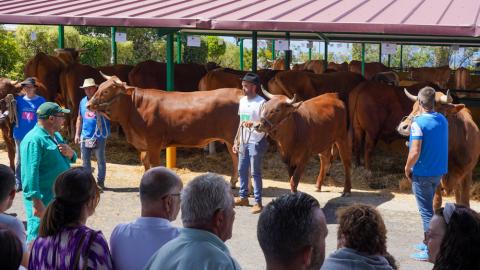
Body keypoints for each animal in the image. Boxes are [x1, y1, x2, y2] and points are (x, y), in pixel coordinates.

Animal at [86, 74, 242, 186]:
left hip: (233, 138)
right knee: (236, 159)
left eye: (106, 91)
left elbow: (154, 164)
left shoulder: (154, 142)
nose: (88, 105)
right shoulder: (145, 144)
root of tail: (239, 92)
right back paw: (233, 183)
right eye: (99, 87)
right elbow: (144, 161)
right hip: (231, 141)